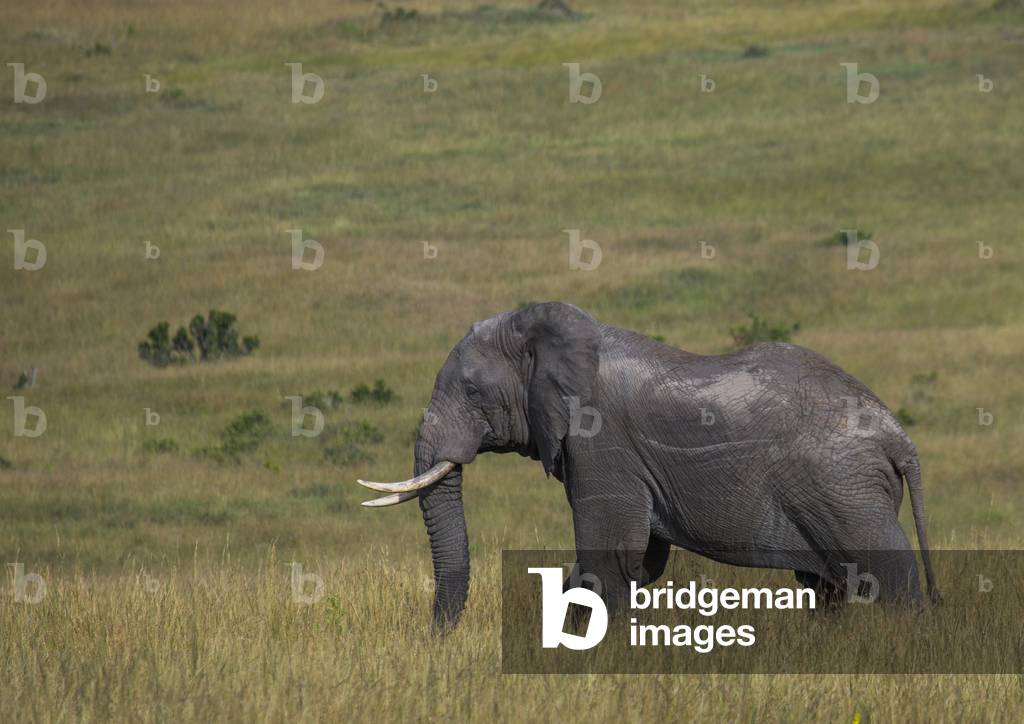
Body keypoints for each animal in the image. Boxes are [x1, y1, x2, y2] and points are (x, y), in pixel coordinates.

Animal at [357, 302, 940, 630]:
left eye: (473, 391)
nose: (436, 640)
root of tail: (898, 436)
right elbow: (639, 561)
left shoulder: (601, 442)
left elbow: (610, 553)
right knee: (826, 587)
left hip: (846, 490)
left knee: (890, 577)